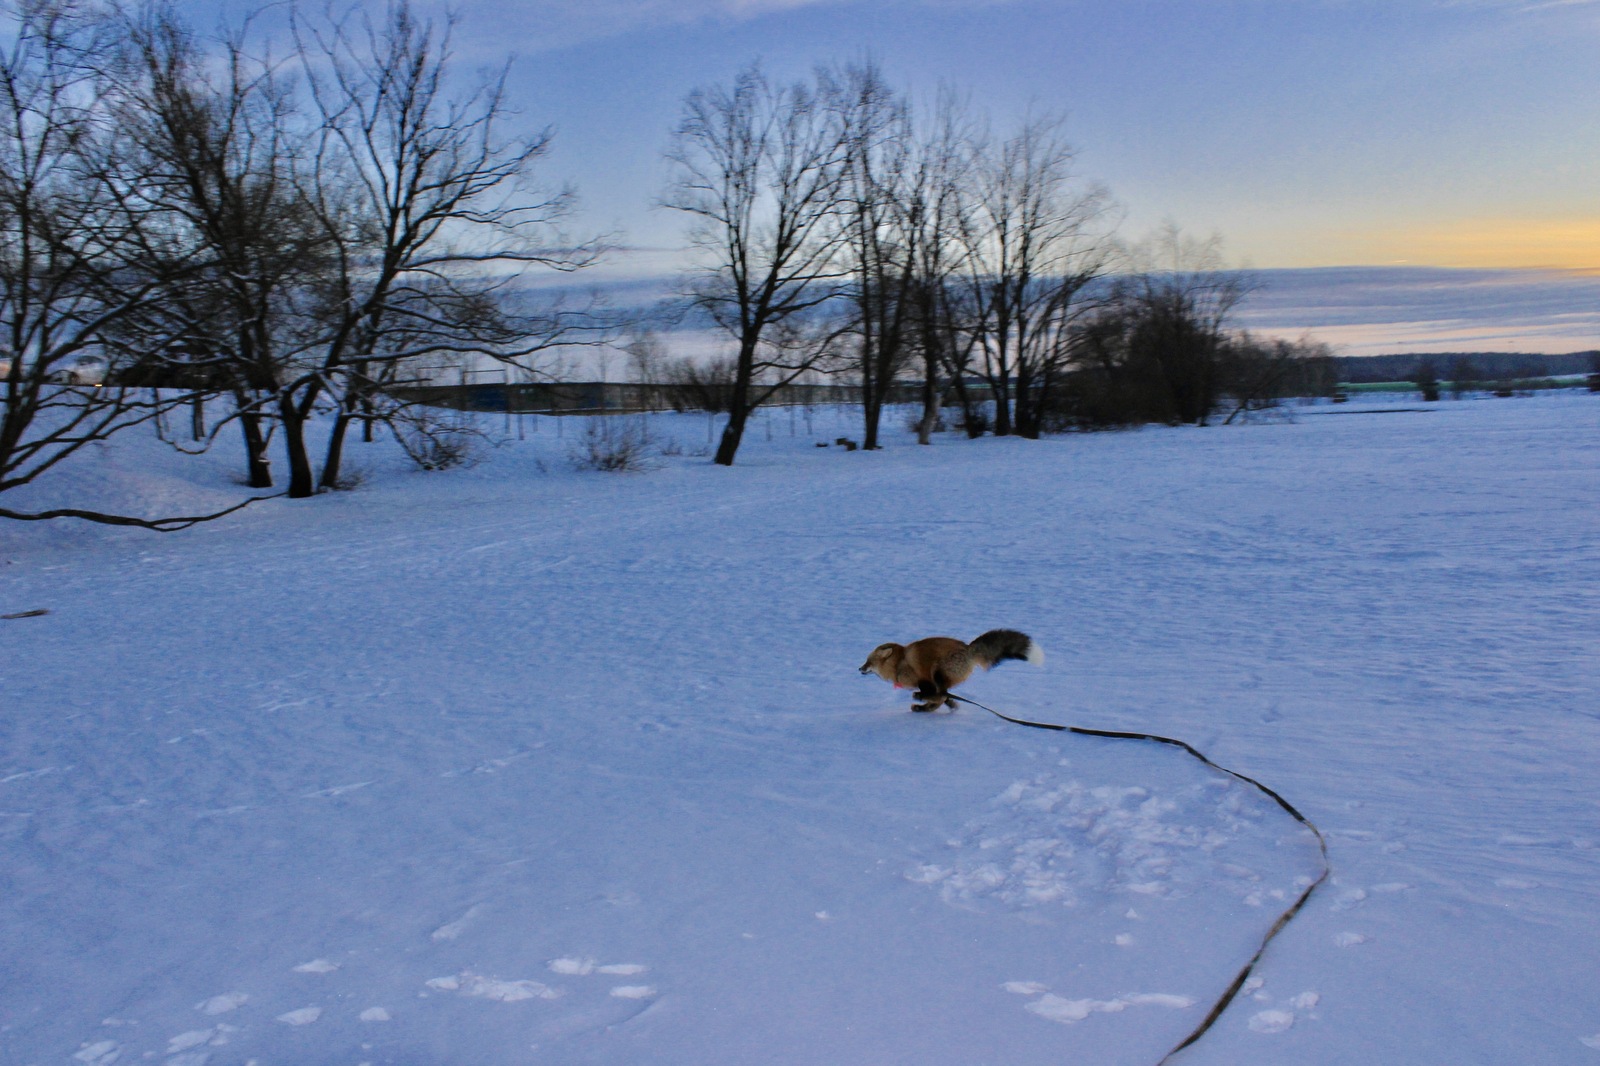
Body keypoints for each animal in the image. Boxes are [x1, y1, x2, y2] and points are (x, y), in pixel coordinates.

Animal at [857, 627, 1043, 710]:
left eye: (868, 661)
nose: (859, 669)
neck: (898, 664)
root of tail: (968, 648)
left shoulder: (923, 679)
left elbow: (936, 696)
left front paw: (922, 699)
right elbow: (942, 698)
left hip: (937, 672)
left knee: (940, 694)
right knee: (944, 694)